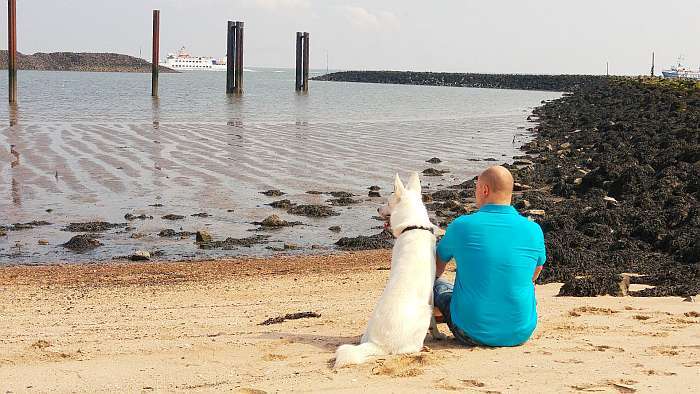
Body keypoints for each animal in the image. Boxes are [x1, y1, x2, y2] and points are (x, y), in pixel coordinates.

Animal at [334, 173, 442, 370]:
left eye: (388, 202)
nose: (377, 208)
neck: (413, 226)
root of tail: (377, 344)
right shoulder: (430, 296)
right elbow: (434, 323)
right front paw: (438, 334)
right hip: (425, 311)